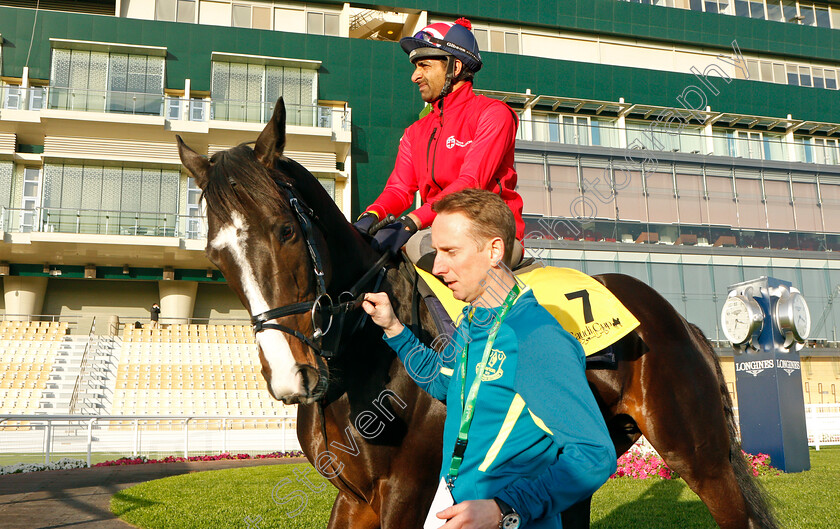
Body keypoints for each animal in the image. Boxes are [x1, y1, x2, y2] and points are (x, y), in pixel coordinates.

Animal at [179, 99, 780, 528]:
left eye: (284, 230)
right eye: (216, 254)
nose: (291, 376)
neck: (360, 364)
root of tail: (678, 320)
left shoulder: (406, 490)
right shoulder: (355, 497)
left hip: (698, 455)